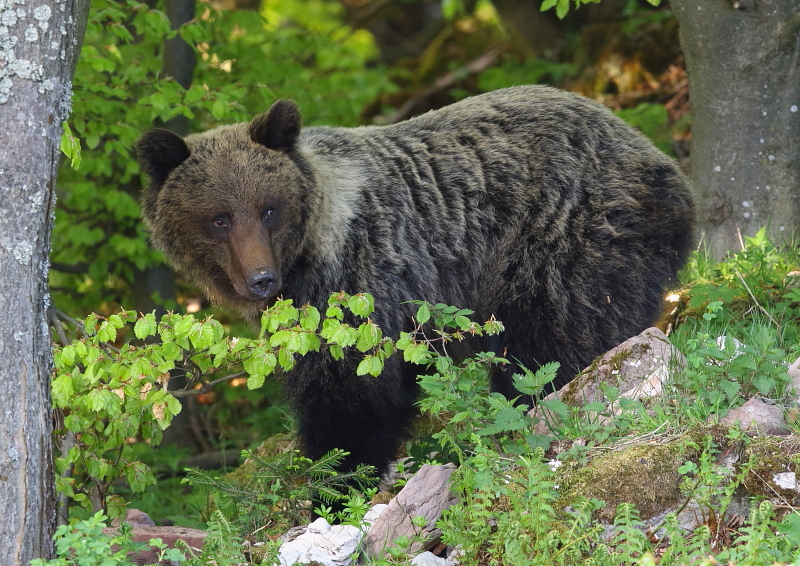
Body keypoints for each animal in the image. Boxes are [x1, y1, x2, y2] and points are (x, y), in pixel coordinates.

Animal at [138, 85, 692, 484]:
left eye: (268, 209)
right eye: (219, 218)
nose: (260, 279)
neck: (311, 251)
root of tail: (659, 159)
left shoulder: (358, 284)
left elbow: (350, 394)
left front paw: (337, 475)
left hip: (565, 235)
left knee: (551, 342)